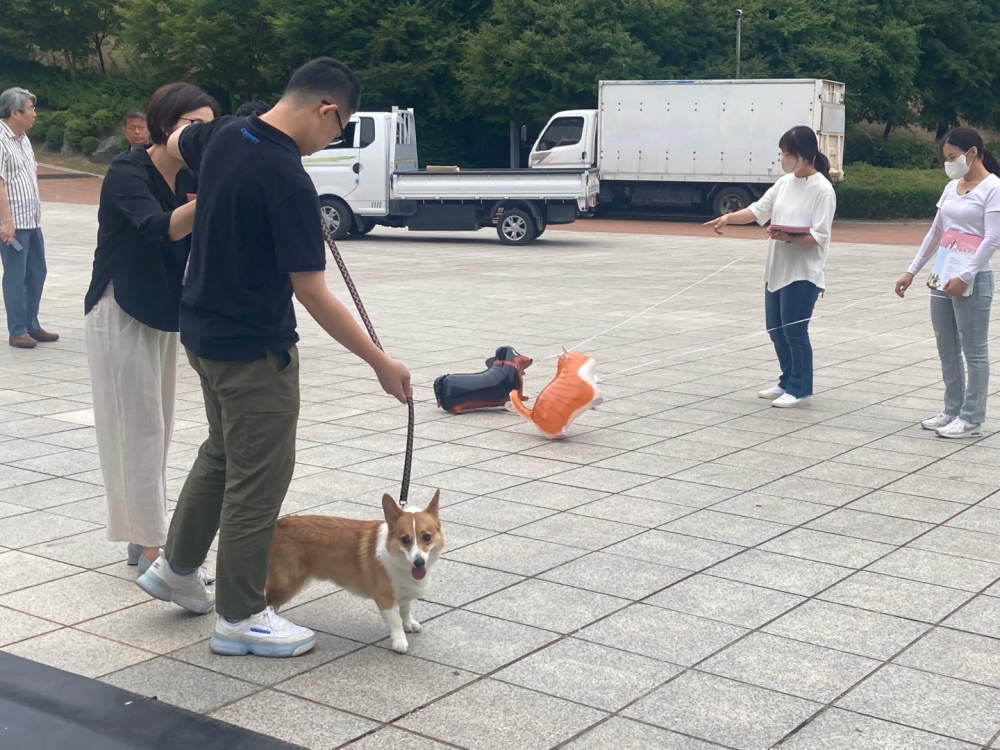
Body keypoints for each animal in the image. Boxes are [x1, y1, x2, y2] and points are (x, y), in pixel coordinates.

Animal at [264, 490, 444, 656]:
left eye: (426, 537)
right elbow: (395, 620)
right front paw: (400, 642)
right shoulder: (385, 598)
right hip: (285, 584)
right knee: (270, 603)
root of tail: (279, 524)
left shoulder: (404, 592)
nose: (419, 562)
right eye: (405, 540)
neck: (400, 560)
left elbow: (405, 610)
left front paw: (409, 623)